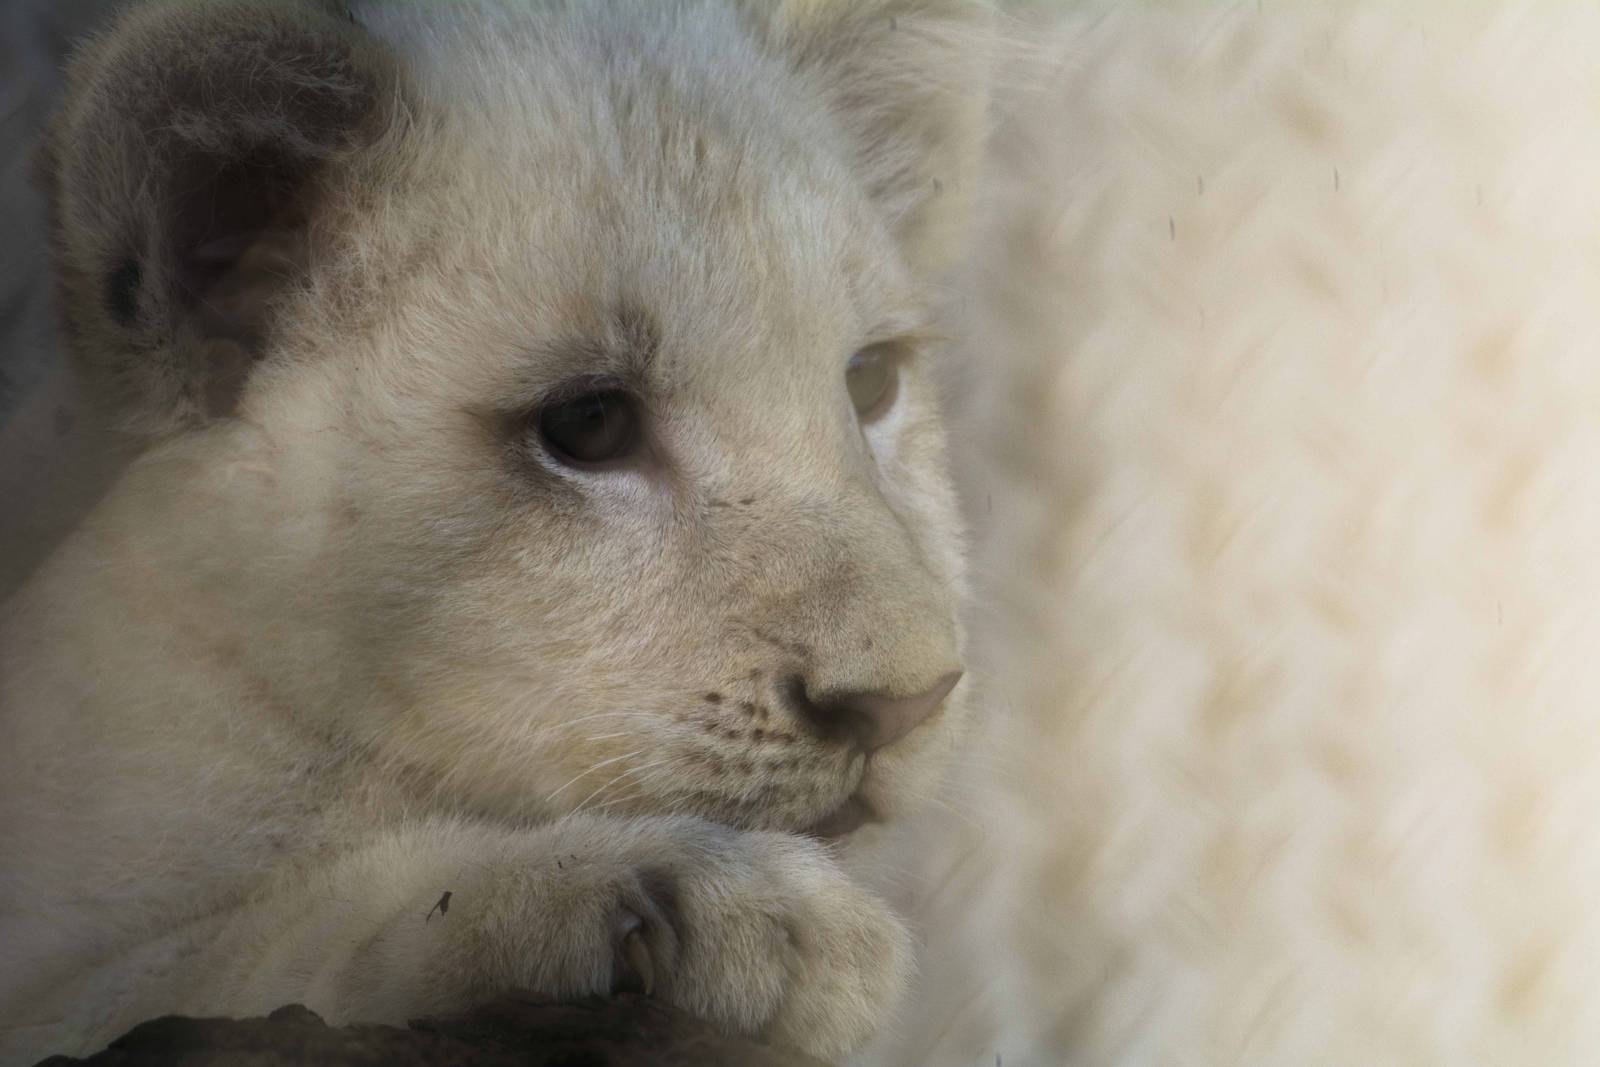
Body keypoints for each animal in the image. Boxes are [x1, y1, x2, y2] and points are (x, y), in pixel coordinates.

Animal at [0, 0, 991, 1061]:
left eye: (869, 380)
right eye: (589, 423)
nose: (903, 703)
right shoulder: (59, 973)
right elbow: (245, 954)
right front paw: (711, 905)